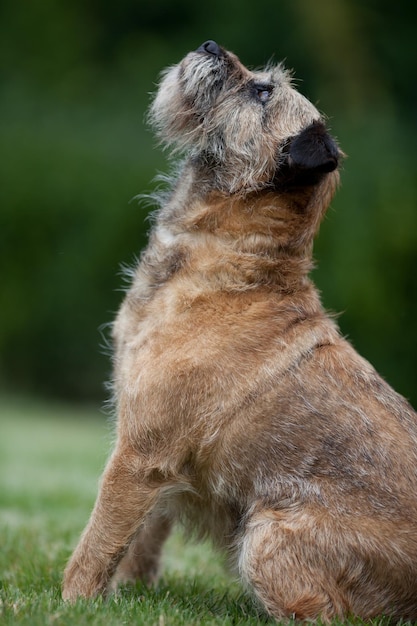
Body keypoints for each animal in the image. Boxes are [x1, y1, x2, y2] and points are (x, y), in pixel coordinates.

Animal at [61, 42, 416, 620]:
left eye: (263, 91)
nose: (210, 47)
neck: (235, 263)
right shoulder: (152, 462)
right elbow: (141, 536)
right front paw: (132, 594)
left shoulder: (137, 455)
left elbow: (98, 541)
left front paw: (73, 603)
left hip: (266, 536)